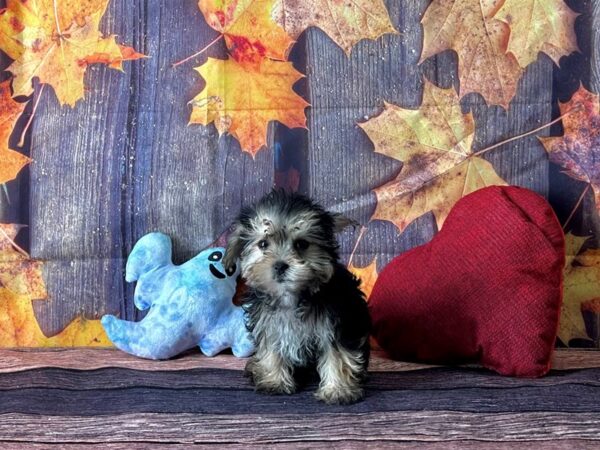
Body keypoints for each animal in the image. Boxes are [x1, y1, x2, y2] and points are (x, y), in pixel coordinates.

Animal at [224, 190, 370, 404]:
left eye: (302, 244)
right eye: (263, 244)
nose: (279, 265)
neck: (292, 297)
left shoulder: (336, 325)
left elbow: (337, 355)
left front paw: (338, 390)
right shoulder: (269, 325)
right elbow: (272, 350)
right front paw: (274, 381)